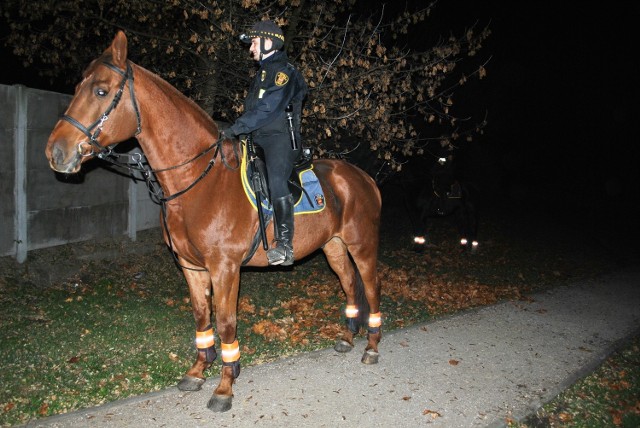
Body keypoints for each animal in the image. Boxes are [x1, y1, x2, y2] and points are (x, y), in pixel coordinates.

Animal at [46, 31, 384, 412]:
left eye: (101, 91)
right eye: (78, 87)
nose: (56, 151)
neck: (198, 179)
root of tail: (362, 177)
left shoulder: (225, 268)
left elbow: (225, 323)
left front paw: (224, 386)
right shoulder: (191, 267)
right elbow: (201, 317)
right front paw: (197, 372)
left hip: (362, 245)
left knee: (371, 286)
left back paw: (372, 346)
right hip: (334, 247)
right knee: (349, 284)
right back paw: (348, 338)